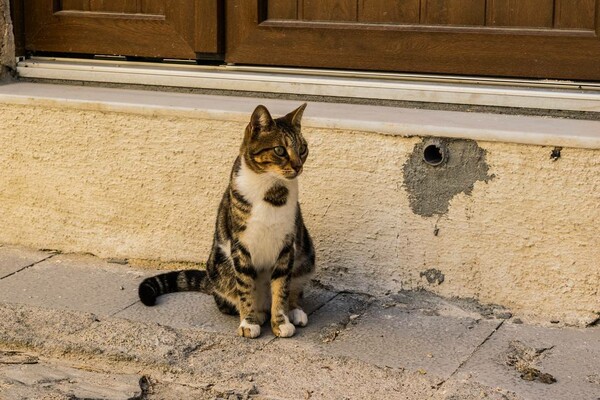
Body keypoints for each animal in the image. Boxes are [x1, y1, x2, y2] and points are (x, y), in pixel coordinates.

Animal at [136, 103, 314, 338]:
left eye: (303, 149)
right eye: (279, 150)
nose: (298, 166)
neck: (272, 192)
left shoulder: (286, 245)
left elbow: (282, 287)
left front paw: (281, 322)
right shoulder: (241, 246)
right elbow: (246, 286)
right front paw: (248, 322)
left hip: (306, 253)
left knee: (294, 287)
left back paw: (294, 311)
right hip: (218, 265)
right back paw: (258, 314)